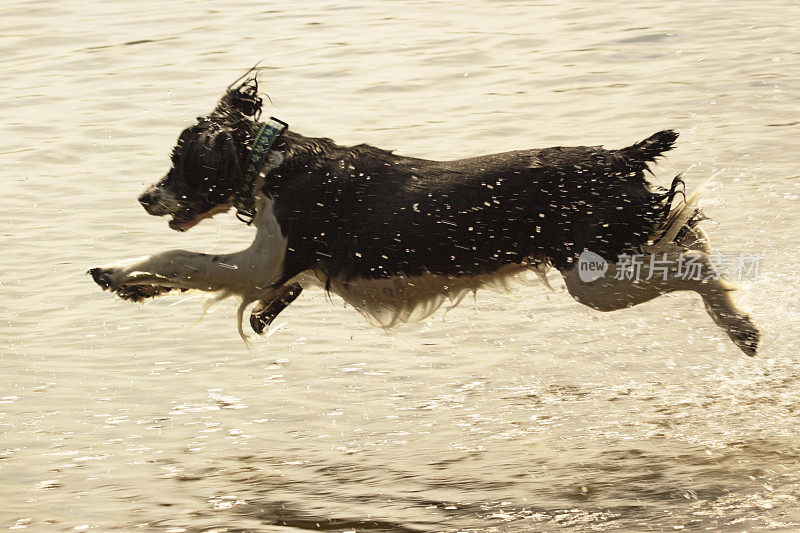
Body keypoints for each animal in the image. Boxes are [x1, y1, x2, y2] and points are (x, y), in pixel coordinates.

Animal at [90, 69, 760, 354]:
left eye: (180, 161)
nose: (146, 196)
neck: (271, 163)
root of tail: (621, 157)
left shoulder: (267, 261)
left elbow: (184, 257)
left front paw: (116, 272)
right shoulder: (279, 271)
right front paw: (136, 287)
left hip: (595, 276)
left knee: (699, 266)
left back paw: (743, 328)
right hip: (614, 260)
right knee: (692, 241)